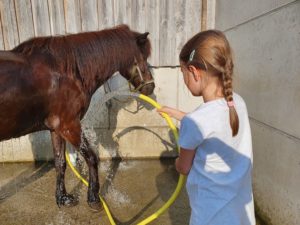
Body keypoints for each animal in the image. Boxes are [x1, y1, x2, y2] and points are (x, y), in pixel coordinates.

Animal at [0, 25, 155, 211]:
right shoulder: (70, 126)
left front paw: (63, 198)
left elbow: (60, 163)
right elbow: (92, 158)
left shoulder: (56, 129)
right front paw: (93, 198)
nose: (151, 87)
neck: (65, 72)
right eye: (143, 57)